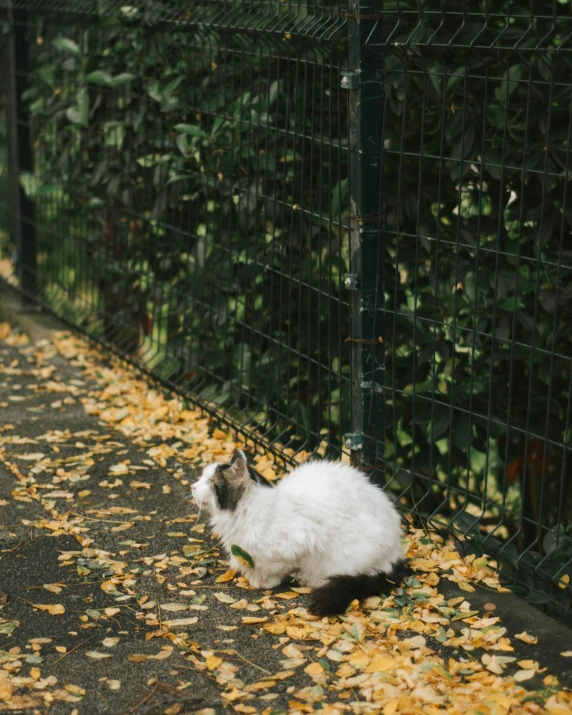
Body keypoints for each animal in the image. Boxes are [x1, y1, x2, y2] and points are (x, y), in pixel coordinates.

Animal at [191, 454, 406, 616]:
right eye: (201, 478)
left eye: (210, 482)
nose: (192, 486)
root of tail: (397, 552)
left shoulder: (301, 539)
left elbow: (276, 568)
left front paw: (263, 581)